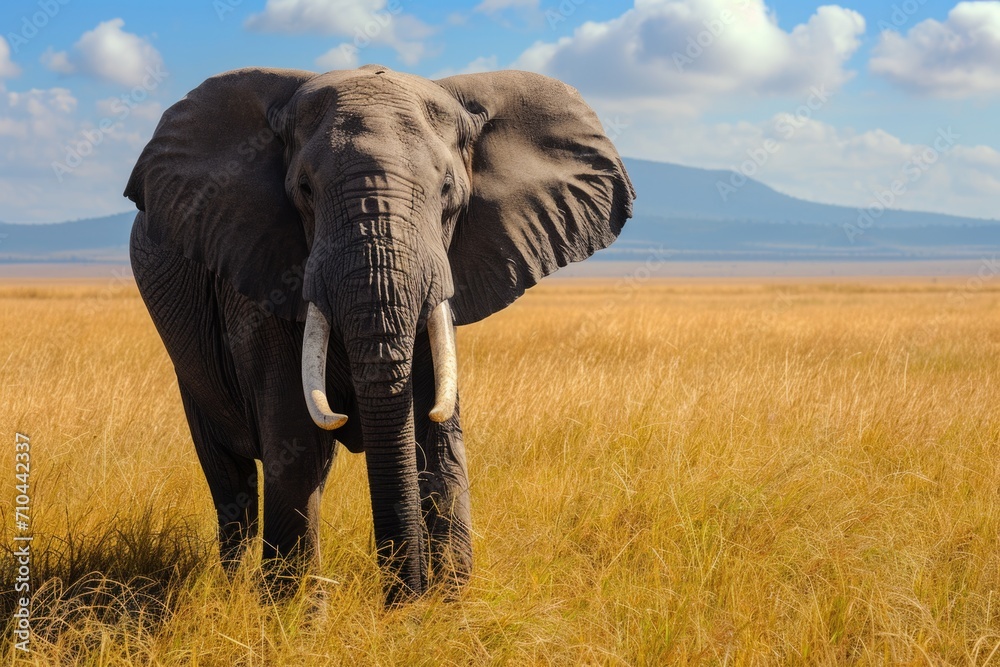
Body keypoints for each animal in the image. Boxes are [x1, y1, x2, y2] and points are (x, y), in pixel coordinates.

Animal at [124, 64, 635, 606]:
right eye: (304, 189)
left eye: (448, 189)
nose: (402, 602)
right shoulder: (256, 270)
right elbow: (295, 445)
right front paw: (292, 617)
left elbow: (439, 443)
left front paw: (446, 611)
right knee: (231, 479)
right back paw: (231, 592)